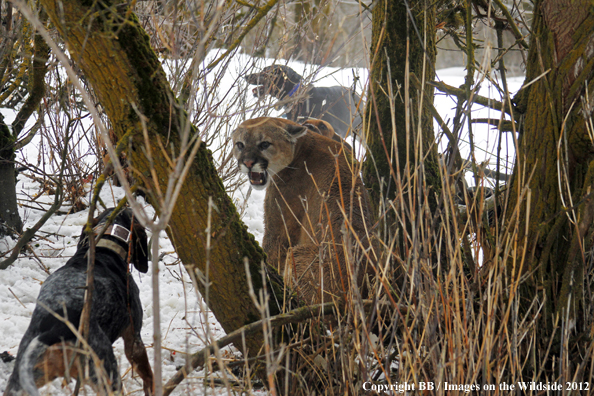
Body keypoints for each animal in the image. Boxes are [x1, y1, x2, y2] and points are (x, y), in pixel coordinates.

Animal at [4, 209, 153, 394]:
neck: (104, 248)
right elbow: (149, 376)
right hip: (107, 375)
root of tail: (57, 328)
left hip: (21, 380)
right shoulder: (134, 338)